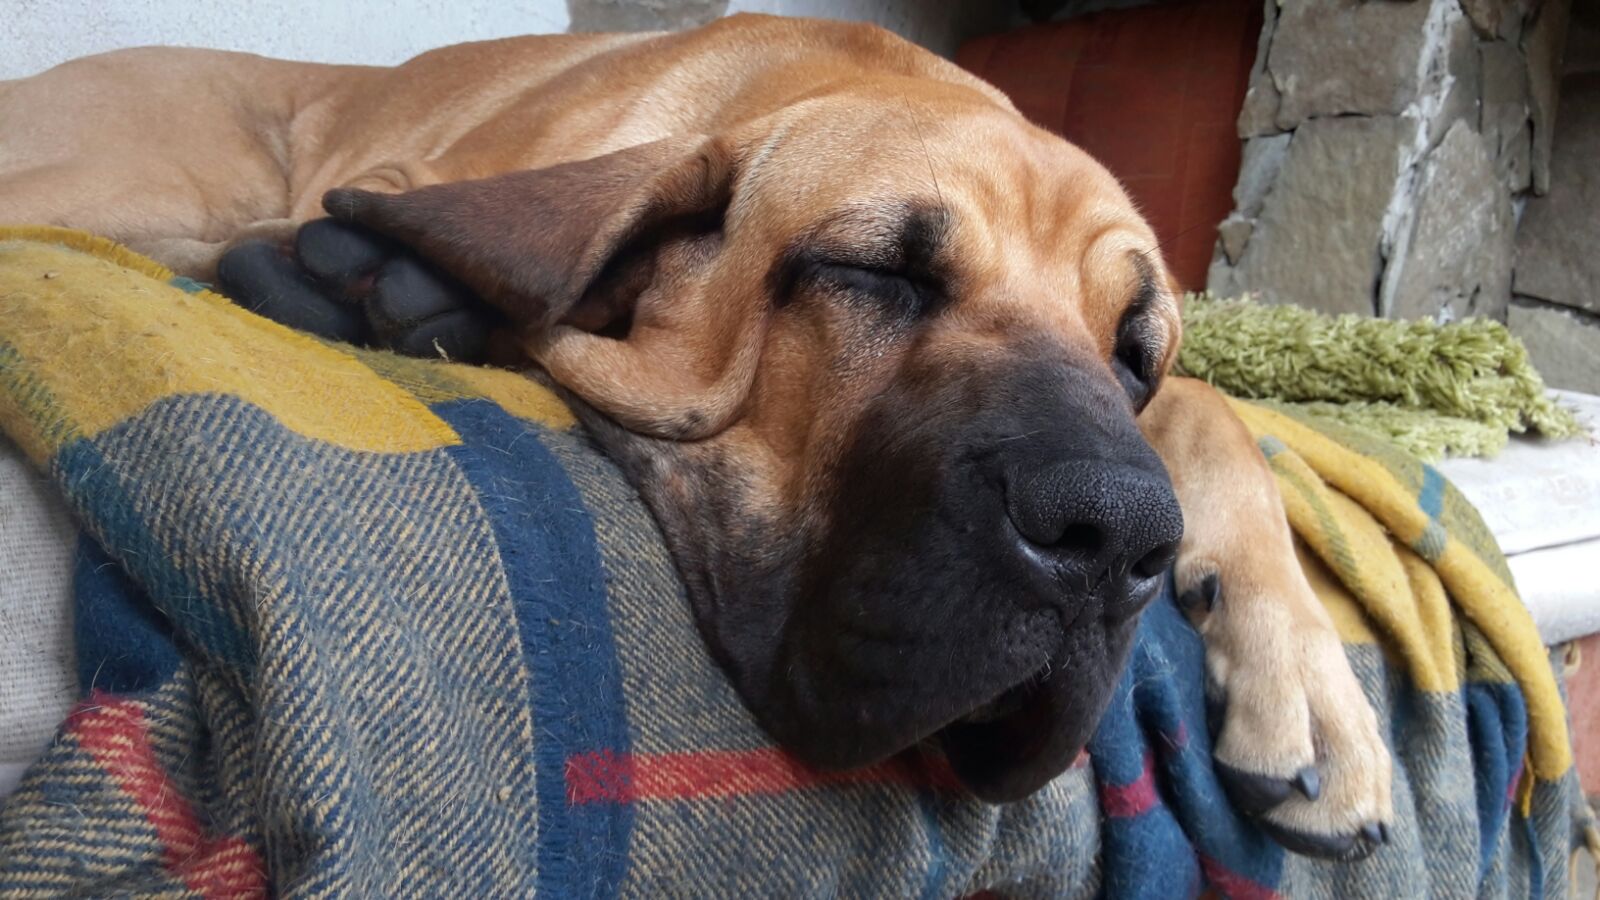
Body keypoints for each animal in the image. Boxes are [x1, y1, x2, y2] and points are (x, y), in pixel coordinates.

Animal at [0, 12, 1395, 851]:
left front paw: (1312, 687)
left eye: (1130, 351)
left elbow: (1219, 412)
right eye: (873, 274)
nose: (1113, 540)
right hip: (163, 173)